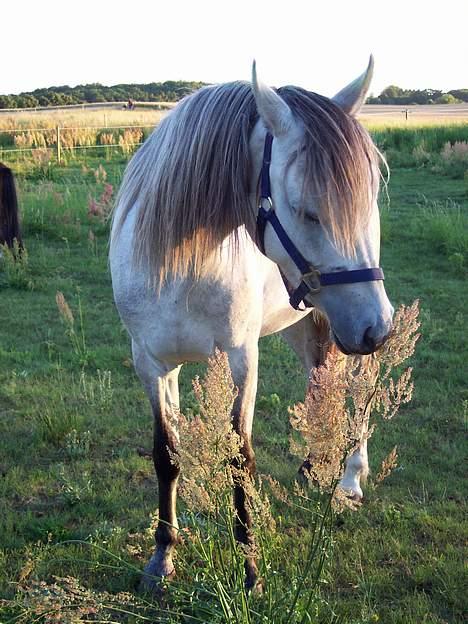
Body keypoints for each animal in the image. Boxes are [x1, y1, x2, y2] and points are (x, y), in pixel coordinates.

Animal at [110, 58, 394, 588]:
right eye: (306, 211)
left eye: (366, 202)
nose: (377, 329)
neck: (182, 266)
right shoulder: (152, 364)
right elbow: (166, 453)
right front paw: (163, 556)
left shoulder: (243, 359)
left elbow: (239, 457)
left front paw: (250, 568)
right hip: (310, 319)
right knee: (320, 378)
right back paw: (314, 463)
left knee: (357, 386)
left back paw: (350, 476)